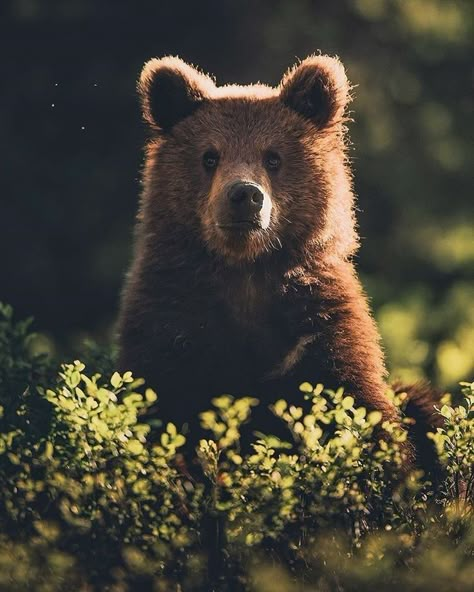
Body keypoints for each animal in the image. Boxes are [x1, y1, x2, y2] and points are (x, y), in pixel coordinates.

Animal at [115, 55, 440, 470]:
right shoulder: (171, 318)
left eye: (273, 157)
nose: (244, 195)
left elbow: (359, 407)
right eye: (209, 156)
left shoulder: (319, 323)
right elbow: (158, 403)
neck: (245, 269)